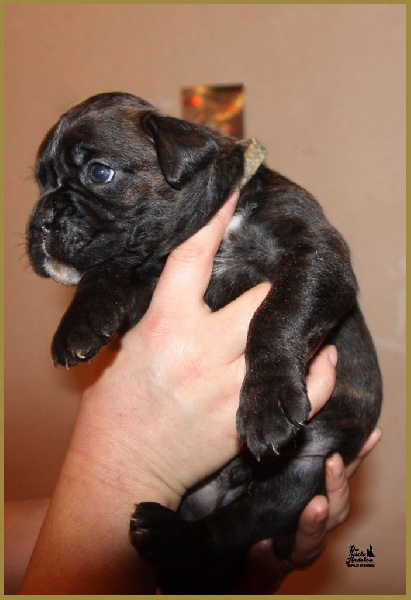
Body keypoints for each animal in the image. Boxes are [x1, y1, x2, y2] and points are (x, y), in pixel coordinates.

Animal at [27, 92, 382, 593]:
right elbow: (105, 271)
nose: (41, 219)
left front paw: (266, 402)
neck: (215, 224)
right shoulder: (148, 285)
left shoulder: (314, 256)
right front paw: (77, 324)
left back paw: (170, 535)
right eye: (40, 184)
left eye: (99, 173)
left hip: (301, 476)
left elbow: (279, 313)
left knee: (228, 531)